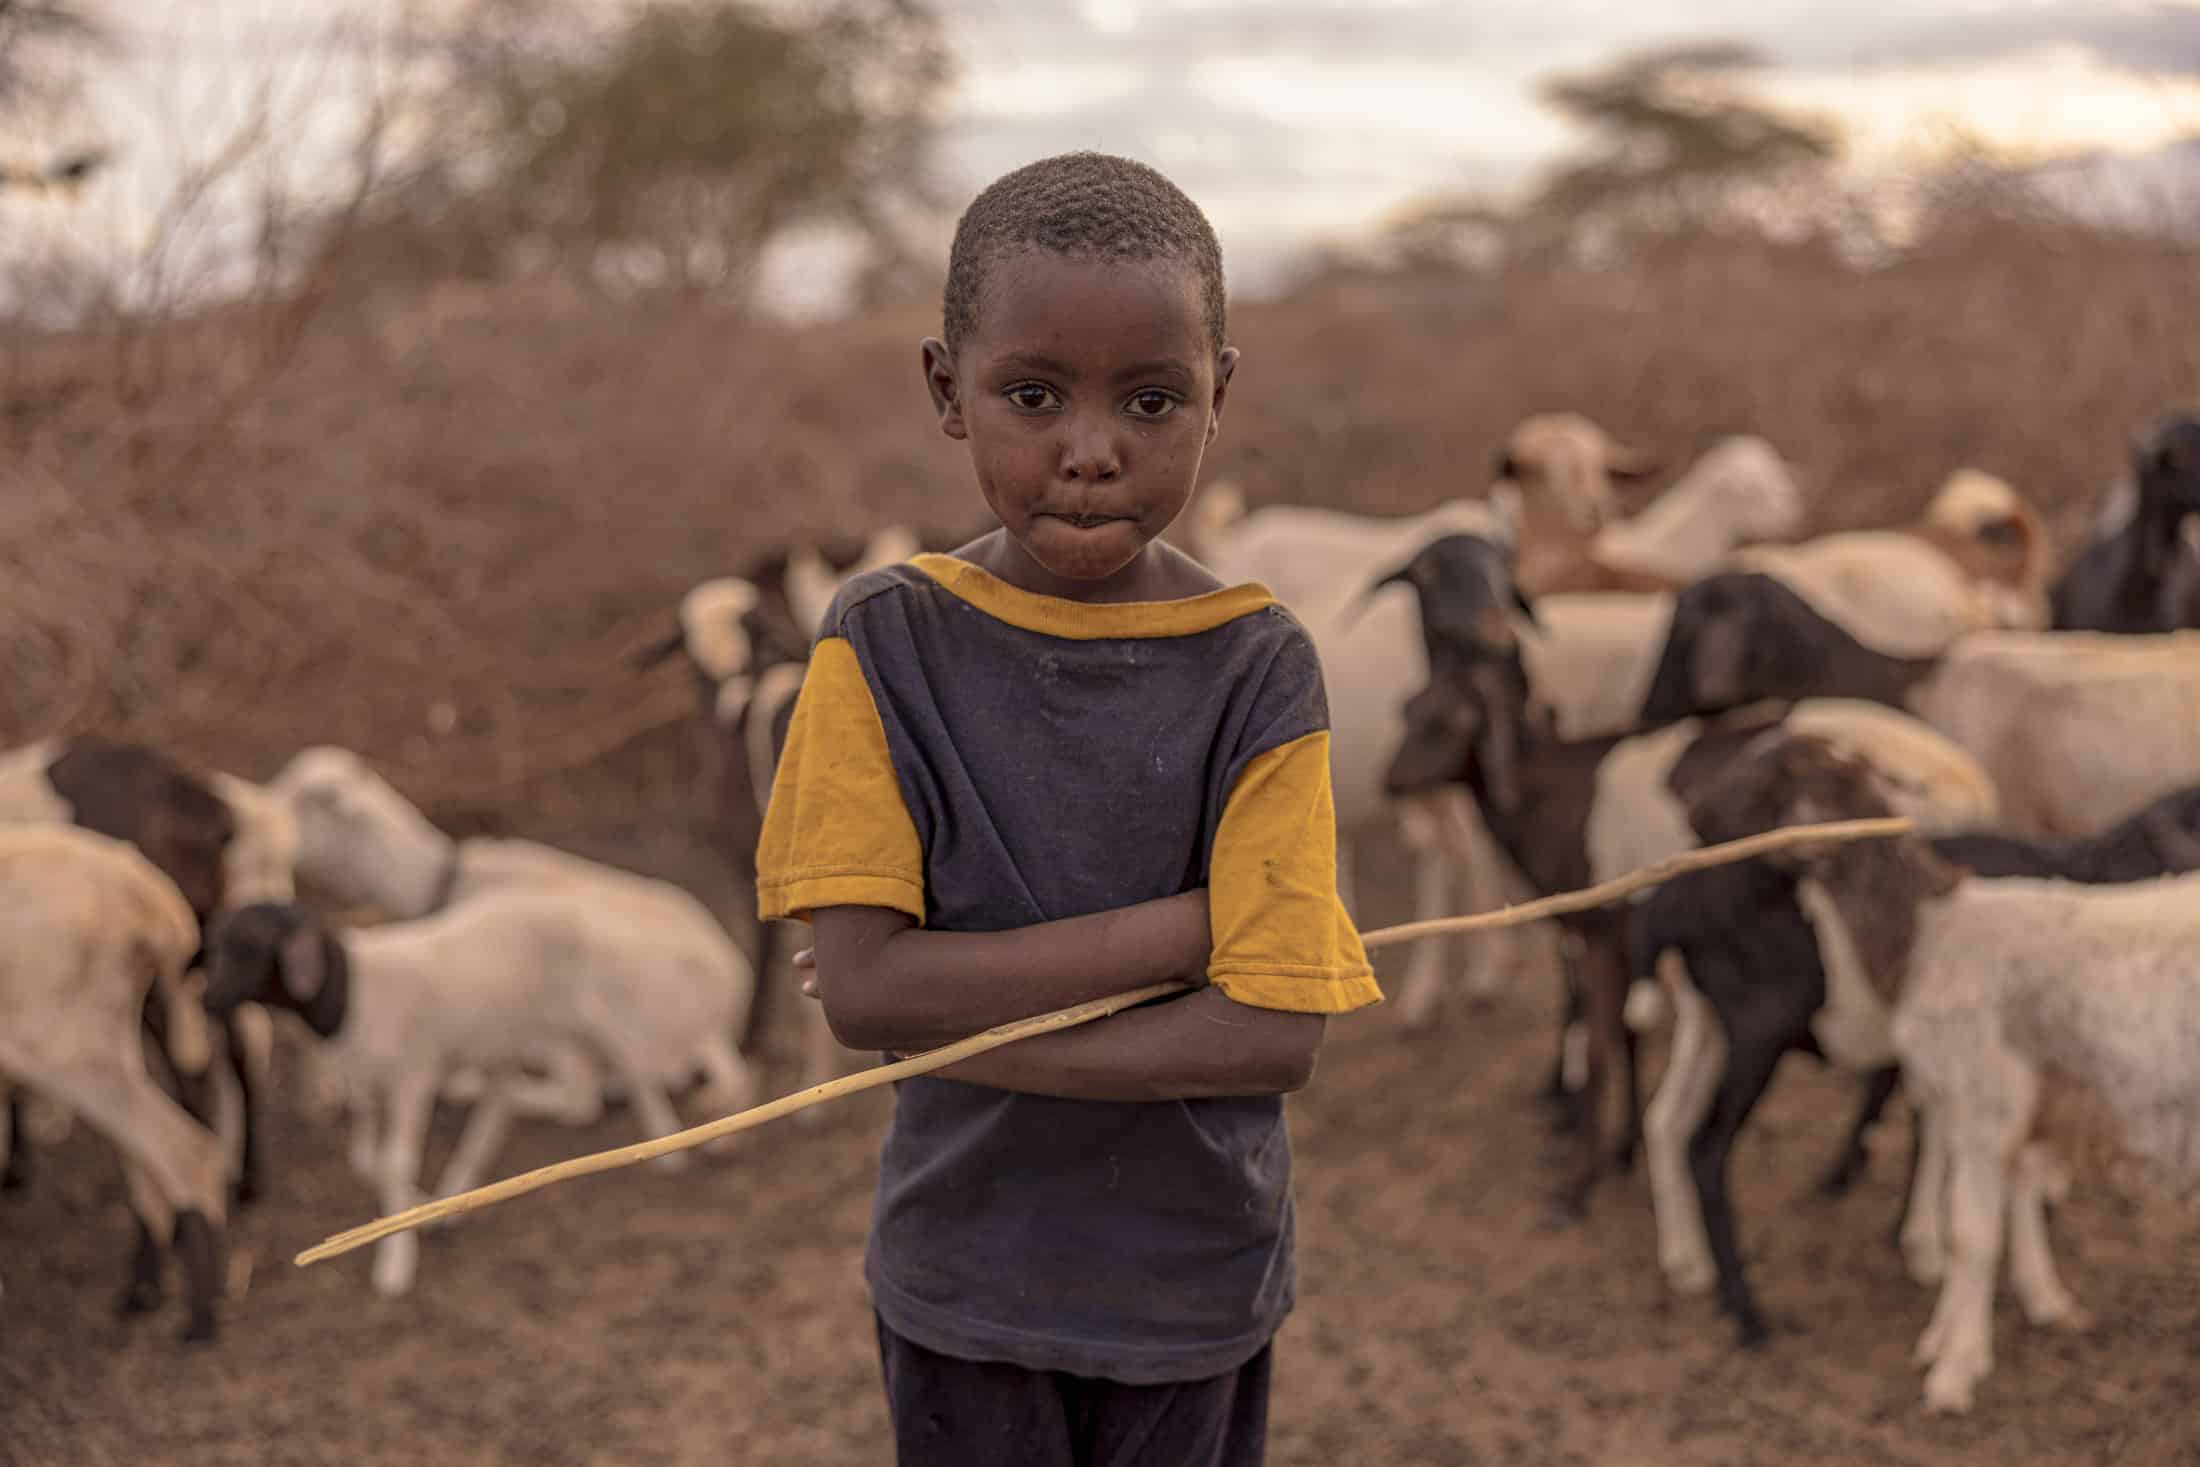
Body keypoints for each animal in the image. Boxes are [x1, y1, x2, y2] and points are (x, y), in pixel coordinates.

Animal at [0, 826, 229, 1346]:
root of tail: (143, 894)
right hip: (111, 1041)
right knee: (151, 1161)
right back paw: (145, 1289)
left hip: (69, 1050)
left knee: (183, 1152)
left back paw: (201, 1316)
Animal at [1680, 738, 2200, 1416]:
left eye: (1773, 772)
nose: (1693, 812)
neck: (1927, 930)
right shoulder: (2001, 1100)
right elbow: (1980, 1221)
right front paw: (1957, 1336)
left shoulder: (1982, 1097)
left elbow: (1972, 1238)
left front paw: (1953, 1375)